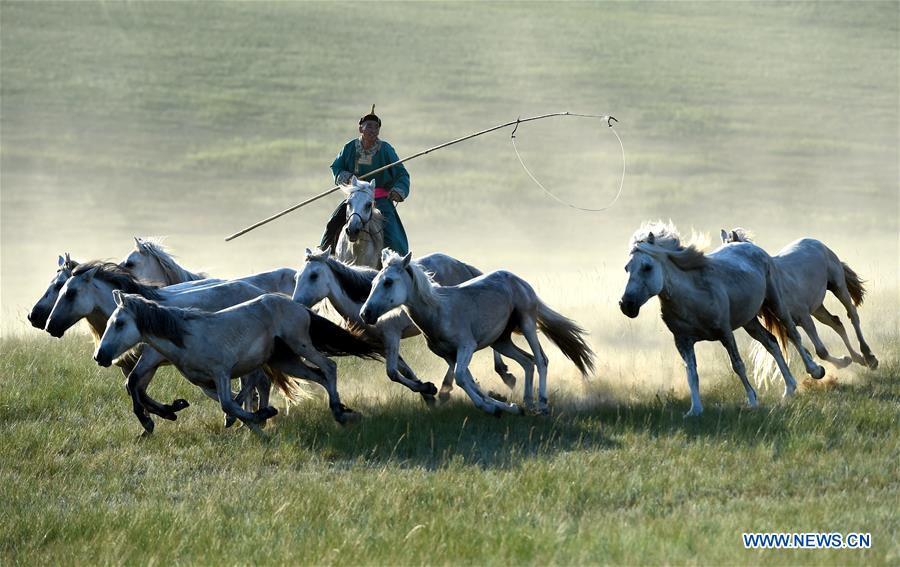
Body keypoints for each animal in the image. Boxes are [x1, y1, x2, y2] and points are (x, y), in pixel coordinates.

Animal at [94, 292, 380, 430]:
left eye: (119, 323)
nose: (100, 356)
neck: (189, 337)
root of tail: (299, 307)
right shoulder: (203, 381)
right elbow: (233, 401)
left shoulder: (221, 372)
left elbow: (229, 403)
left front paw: (261, 416)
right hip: (287, 361)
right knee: (319, 375)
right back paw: (341, 410)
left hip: (300, 344)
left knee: (329, 366)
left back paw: (339, 412)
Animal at [292, 248, 516, 404]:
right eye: (296, 277)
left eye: (313, 275)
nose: (297, 303)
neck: (361, 303)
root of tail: (458, 263)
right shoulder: (382, 346)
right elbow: (404, 371)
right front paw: (426, 391)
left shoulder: (392, 336)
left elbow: (392, 372)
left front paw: (430, 390)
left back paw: (499, 375)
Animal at [358, 251, 596, 414]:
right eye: (373, 282)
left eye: (388, 282)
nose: (365, 313)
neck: (438, 311)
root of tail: (518, 279)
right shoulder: (449, 355)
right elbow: (467, 380)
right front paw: (506, 406)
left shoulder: (466, 346)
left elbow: (461, 377)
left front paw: (491, 407)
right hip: (501, 341)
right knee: (527, 362)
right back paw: (527, 403)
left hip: (527, 323)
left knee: (541, 360)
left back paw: (543, 404)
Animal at [620, 222, 824, 418]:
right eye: (627, 268)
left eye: (647, 267)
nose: (626, 305)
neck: (692, 296)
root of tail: (747, 245)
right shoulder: (682, 341)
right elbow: (691, 374)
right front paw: (695, 410)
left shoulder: (725, 333)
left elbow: (738, 365)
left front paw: (752, 401)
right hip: (750, 321)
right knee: (772, 343)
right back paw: (789, 389)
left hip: (776, 303)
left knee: (793, 334)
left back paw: (815, 371)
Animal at [724, 229, 880, 370]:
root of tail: (816, 242)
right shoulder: (788, 327)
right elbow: (809, 351)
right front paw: (843, 361)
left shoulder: (804, 318)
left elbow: (821, 351)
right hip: (817, 308)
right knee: (836, 323)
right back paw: (858, 358)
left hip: (838, 287)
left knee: (852, 314)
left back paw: (869, 357)